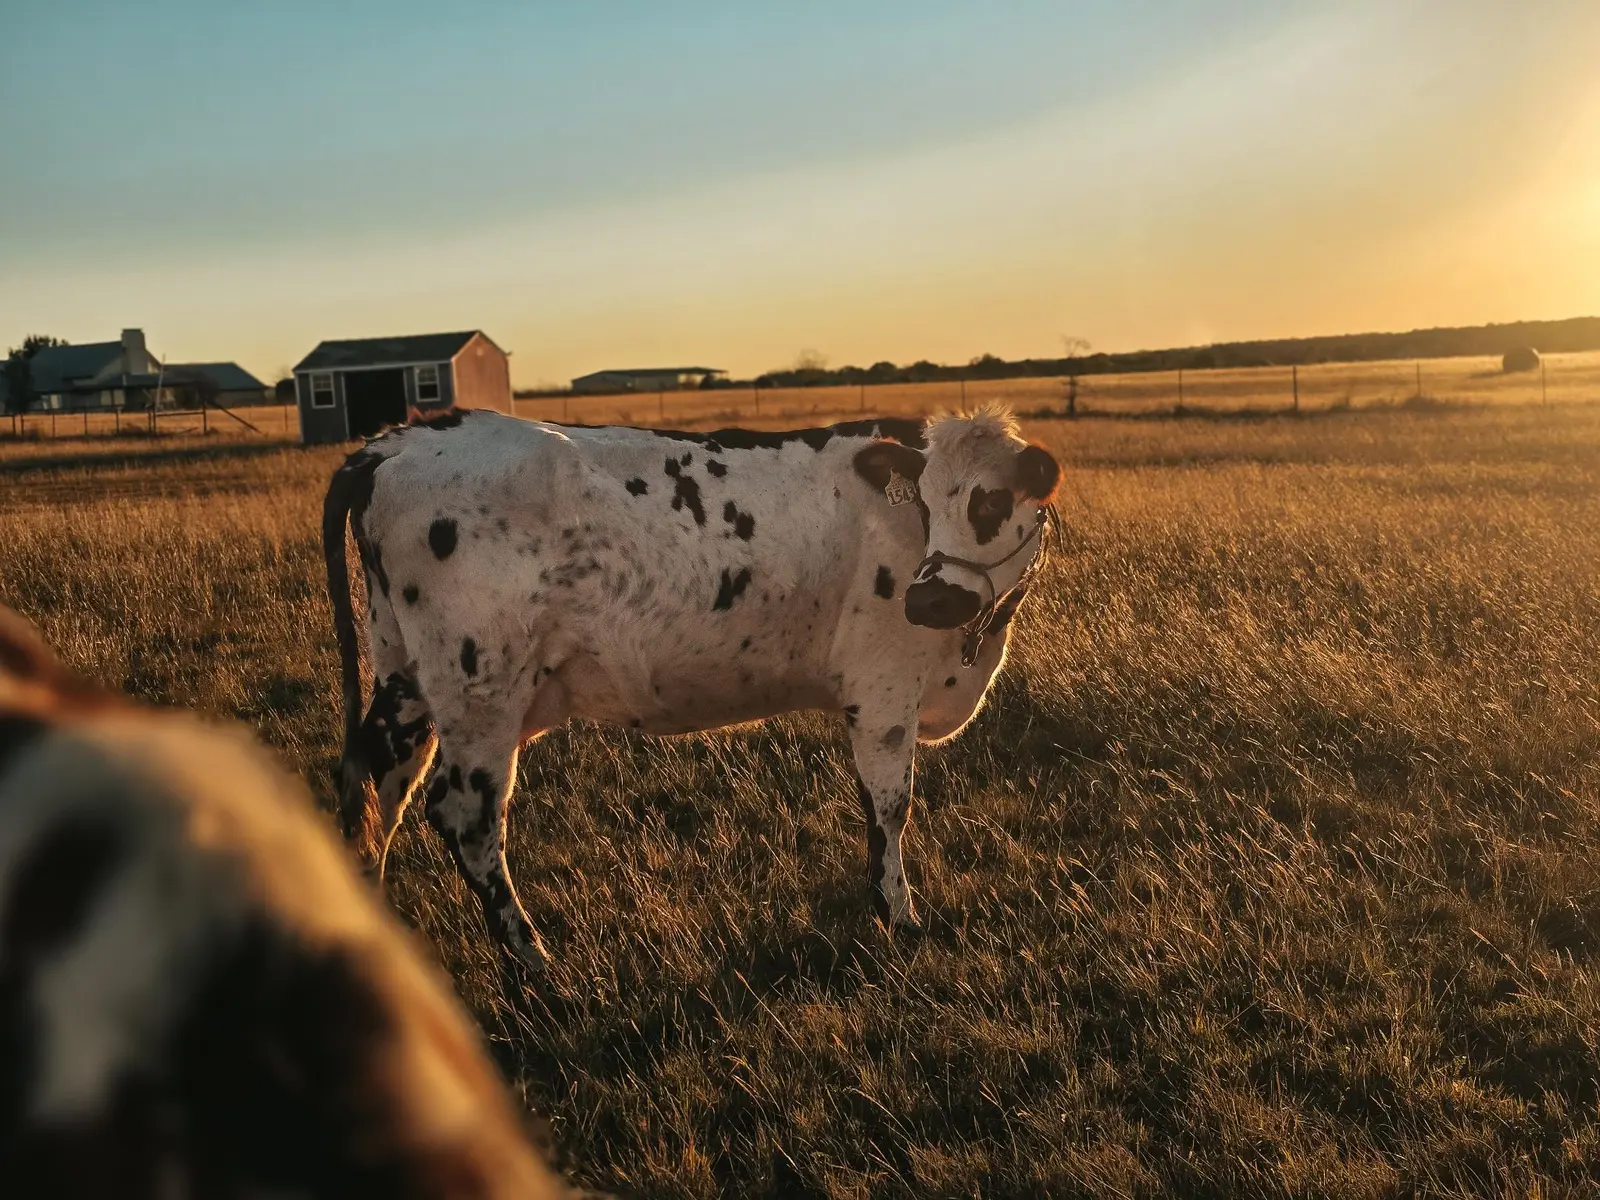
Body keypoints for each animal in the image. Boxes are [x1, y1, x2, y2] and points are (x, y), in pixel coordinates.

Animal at [324, 405, 1061, 969]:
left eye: (993, 501)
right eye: (930, 504)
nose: (930, 599)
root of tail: (402, 437)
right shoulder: (883, 690)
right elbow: (890, 808)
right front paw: (899, 918)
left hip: (407, 676)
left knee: (377, 785)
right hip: (482, 689)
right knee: (465, 816)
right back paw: (533, 963)